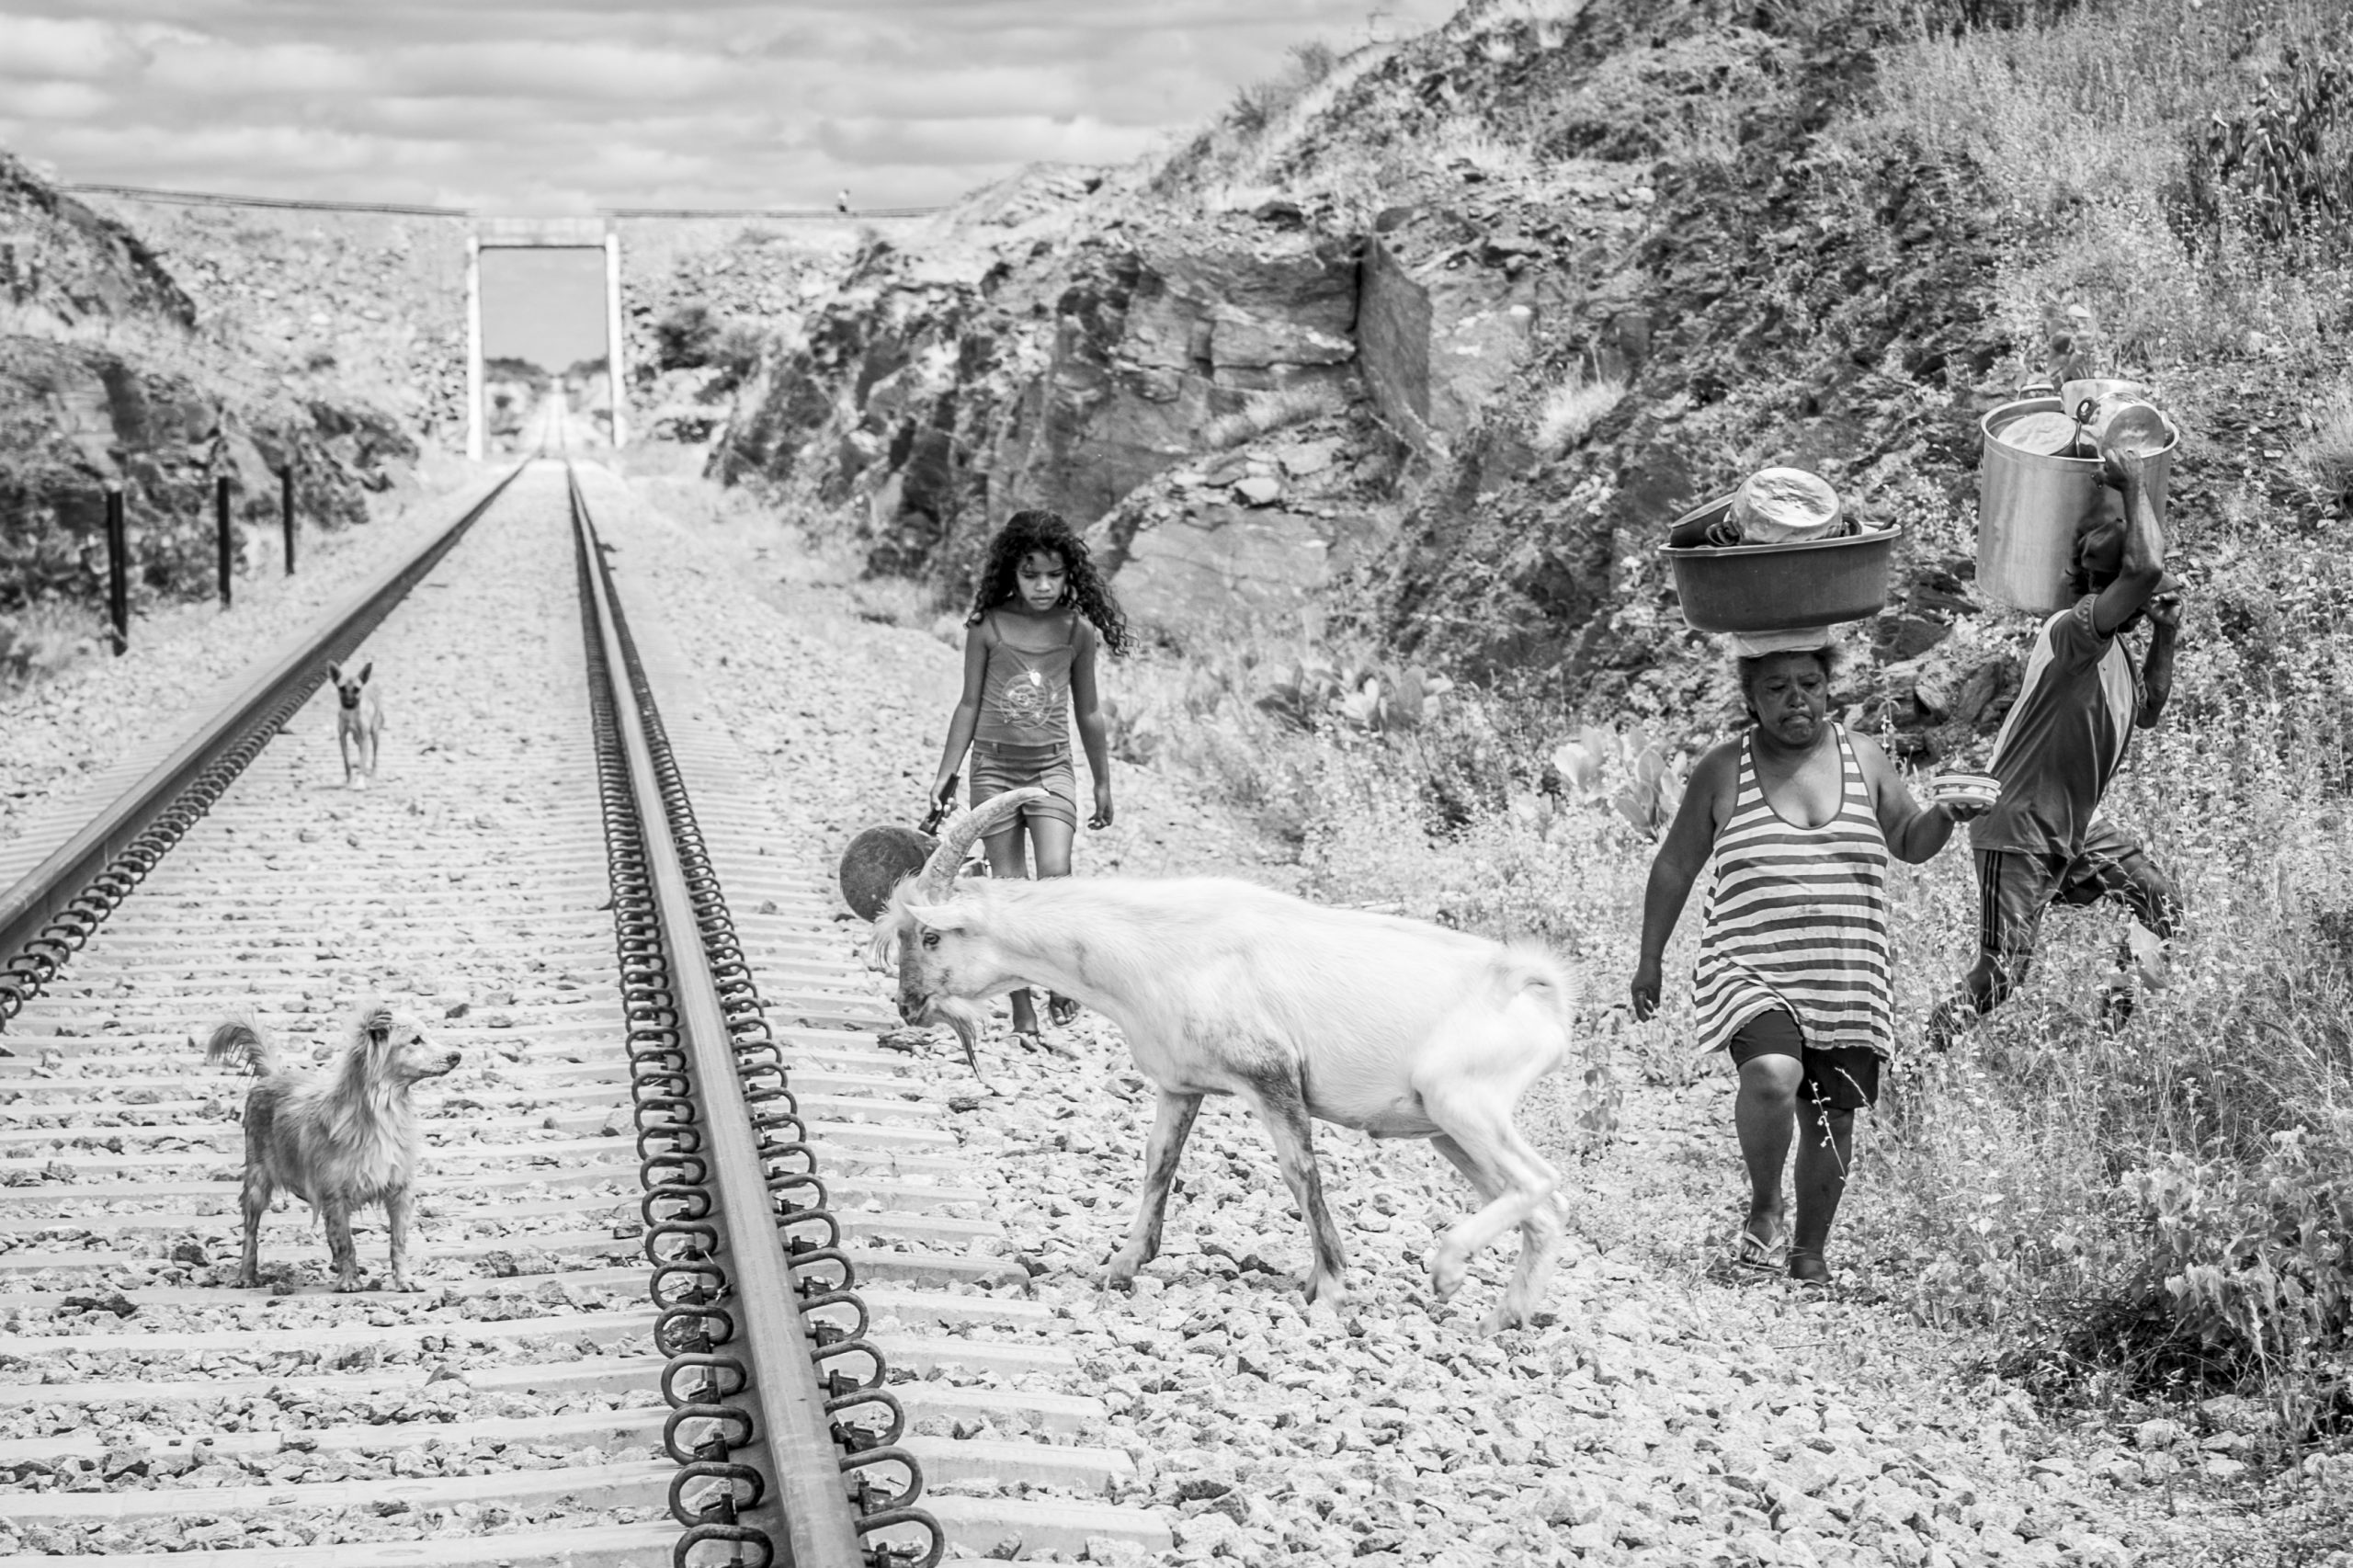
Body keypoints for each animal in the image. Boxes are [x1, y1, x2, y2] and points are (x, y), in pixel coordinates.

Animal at [205, 1000, 460, 1292]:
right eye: (416, 1040)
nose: (457, 1055)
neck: (382, 1111)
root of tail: (273, 1077)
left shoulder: (399, 1190)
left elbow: (398, 1242)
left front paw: (404, 1279)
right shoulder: (334, 1195)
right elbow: (345, 1242)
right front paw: (349, 1281)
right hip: (257, 1181)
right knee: (250, 1232)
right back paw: (246, 1275)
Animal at [328, 661, 385, 789]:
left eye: (356, 689)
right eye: (342, 688)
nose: (349, 704)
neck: (351, 714)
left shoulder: (364, 738)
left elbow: (363, 760)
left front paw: (360, 783)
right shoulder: (342, 738)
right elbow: (347, 763)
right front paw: (349, 781)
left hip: (374, 735)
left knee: (374, 758)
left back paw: (373, 776)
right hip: (356, 738)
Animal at [872, 788, 1578, 1332]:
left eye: (930, 936)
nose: (907, 1006)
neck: (1159, 944)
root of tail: (1534, 991)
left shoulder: (1272, 1079)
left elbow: (1301, 1174)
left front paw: (1330, 1287)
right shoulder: (1180, 1084)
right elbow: (1158, 1163)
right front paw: (1123, 1263)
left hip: (1462, 1101)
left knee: (1543, 1181)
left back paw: (1448, 1270)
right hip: (1446, 1131)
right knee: (1540, 1211)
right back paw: (1499, 1318)